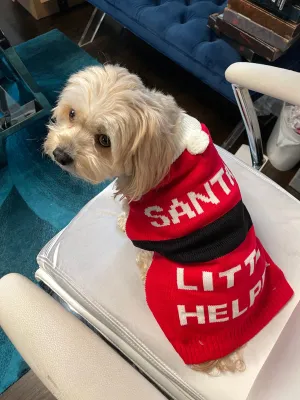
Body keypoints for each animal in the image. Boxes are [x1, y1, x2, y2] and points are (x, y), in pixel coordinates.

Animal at [44, 64, 292, 374]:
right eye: (72, 113)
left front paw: (122, 222)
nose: (60, 154)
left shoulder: (144, 220)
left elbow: (132, 223)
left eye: (104, 141)